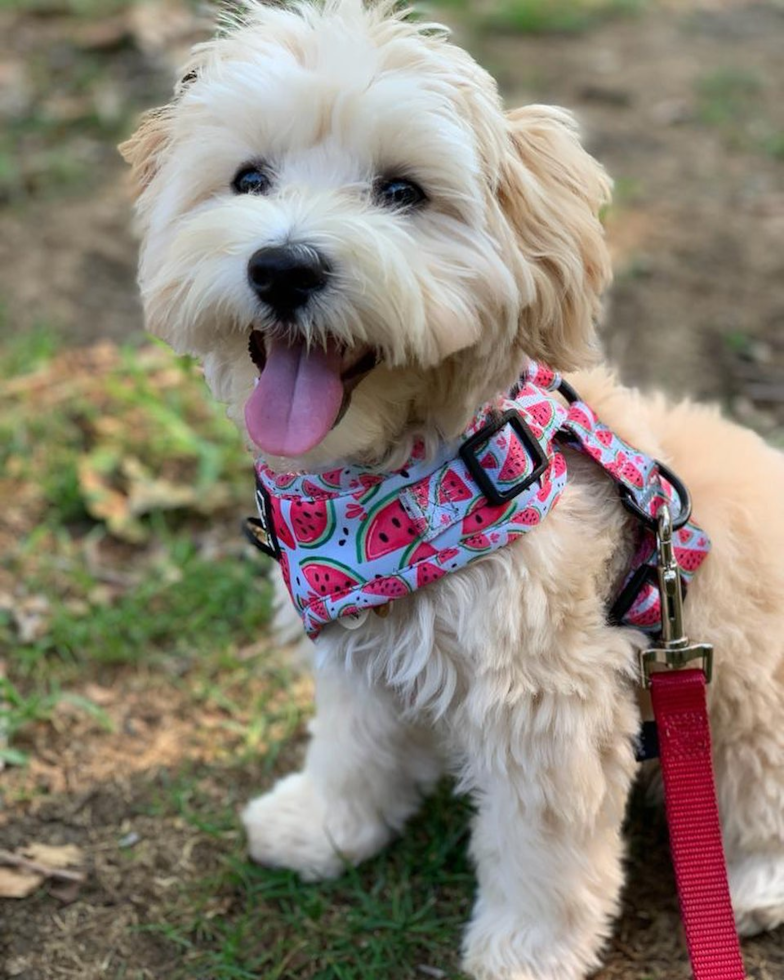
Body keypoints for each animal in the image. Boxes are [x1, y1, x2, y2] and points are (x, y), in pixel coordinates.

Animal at [122, 3, 784, 976]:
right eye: (247, 179)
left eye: (403, 192)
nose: (283, 267)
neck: (398, 494)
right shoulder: (358, 653)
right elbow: (354, 749)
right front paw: (323, 826)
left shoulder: (547, 701)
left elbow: (544, 848)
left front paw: (526, 949)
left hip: (742, 688)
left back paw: (759, 881)